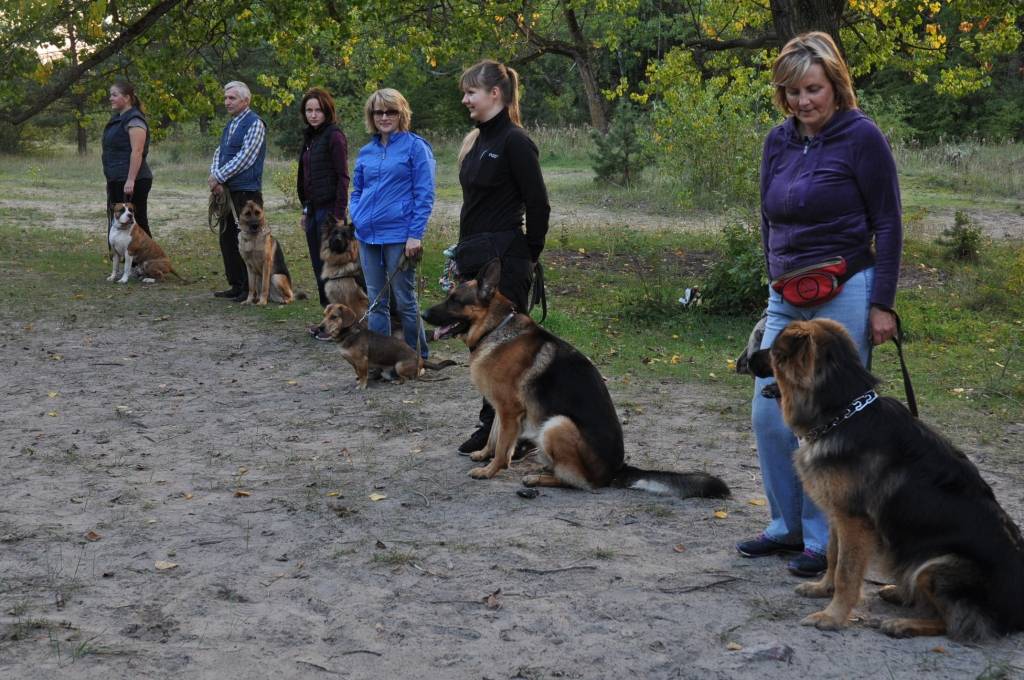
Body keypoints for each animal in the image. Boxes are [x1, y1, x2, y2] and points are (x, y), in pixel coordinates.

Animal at [315, 303, 452, 387]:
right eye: (324, 315)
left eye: (334, 317)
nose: (319, 328)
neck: (348, 334)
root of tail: (420, 359)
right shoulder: (353, 363)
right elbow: (358, 373)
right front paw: (359, 381)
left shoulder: (362, 361)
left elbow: (363, 375)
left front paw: (362, 386)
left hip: (399, 366)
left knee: (407, 379)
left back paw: (397, 382)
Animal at [419, 258, 733, 497]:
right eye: (448, 296)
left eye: (455, 300)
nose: (422, 313)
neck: (494, 329)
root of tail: (618, 469)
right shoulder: (501, 409)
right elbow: (495, 439)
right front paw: (483, 456)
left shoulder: (509, 410)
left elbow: (503, 449)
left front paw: (490, 471)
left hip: (556, 424)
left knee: (580, 483)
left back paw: (539, 478)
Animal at [745, 317, 1024, 639]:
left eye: (774, 352)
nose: (748, 361)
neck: (842, 414)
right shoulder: (839, 515)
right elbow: (834, 556)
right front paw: (823, 588)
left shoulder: (854, 521)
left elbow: (847, 572)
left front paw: (832, 616)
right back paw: (900, 593)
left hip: (934, 566)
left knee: (953, 623)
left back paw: (903, 623)